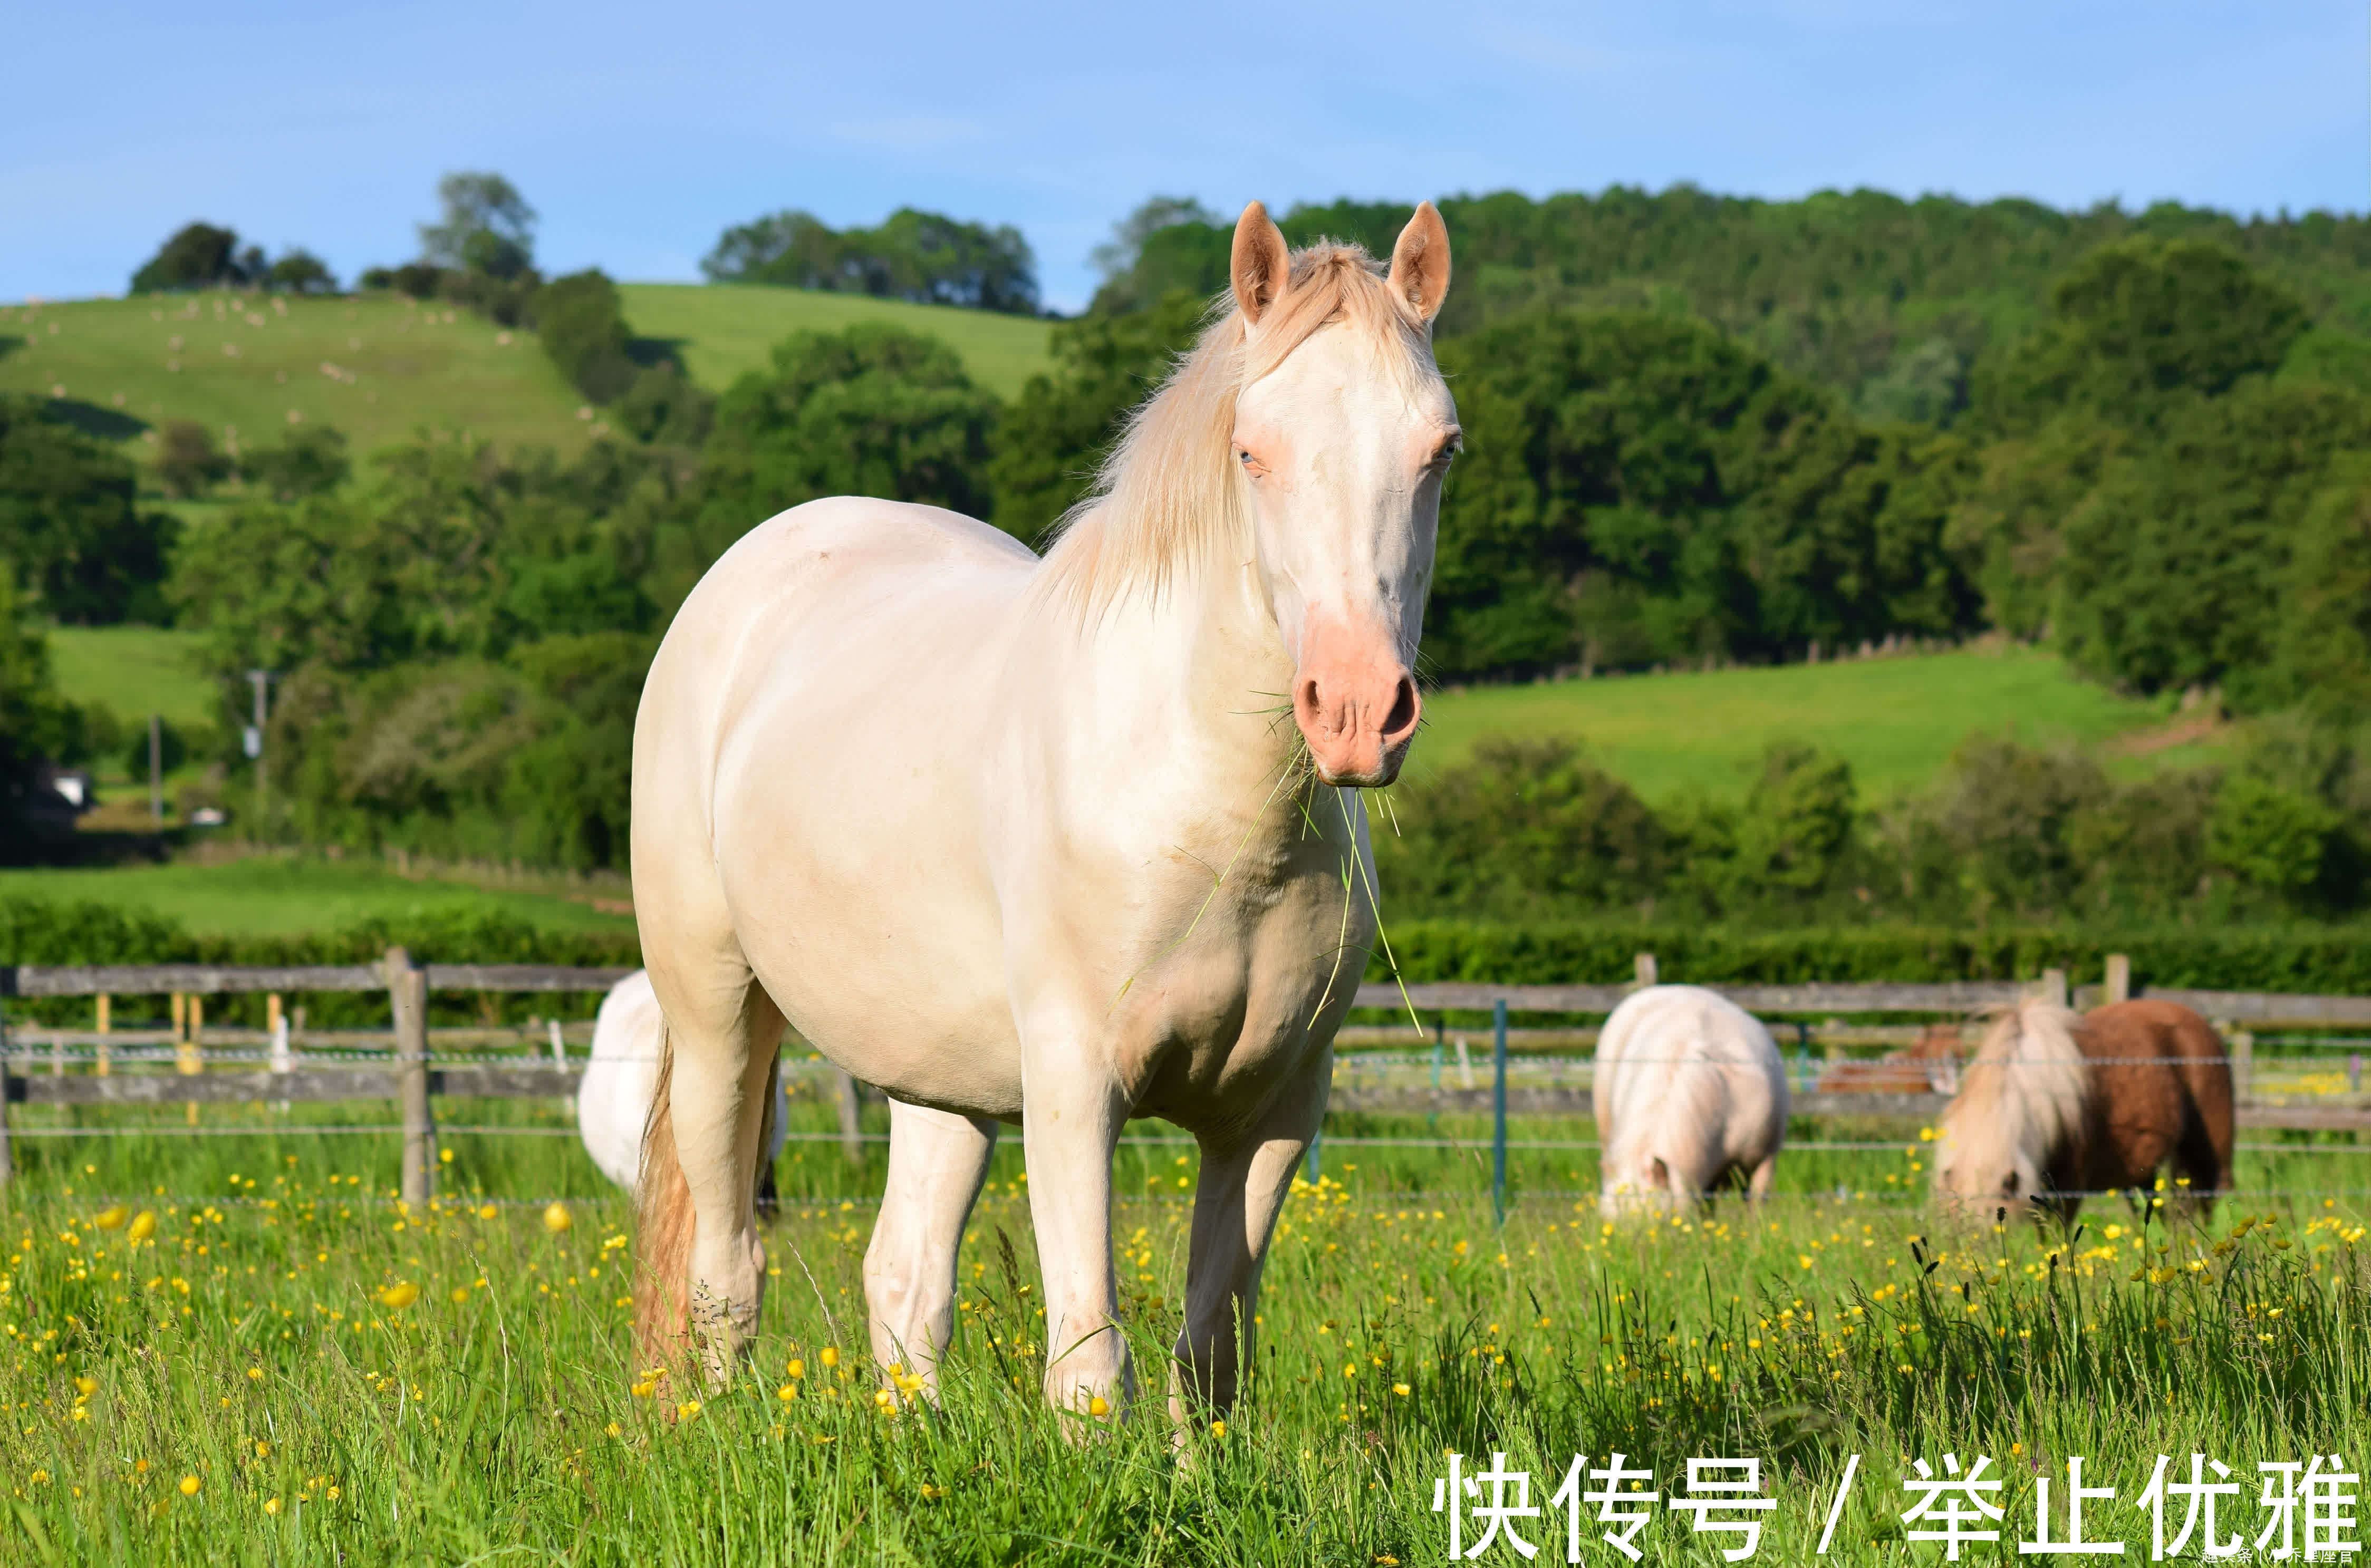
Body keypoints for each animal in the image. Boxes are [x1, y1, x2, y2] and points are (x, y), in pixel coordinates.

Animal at [630, 199, 1451, 1423]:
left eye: (1440, 450)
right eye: (1251, 450)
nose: (1356, 709)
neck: (1211, 824)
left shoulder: (1268, 1116)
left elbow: (1208, 1358)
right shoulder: (1073, 1092)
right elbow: (1088, 1367)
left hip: (938, 1076)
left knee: (904, 1280)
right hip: (719, 1020)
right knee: (727, 1270)